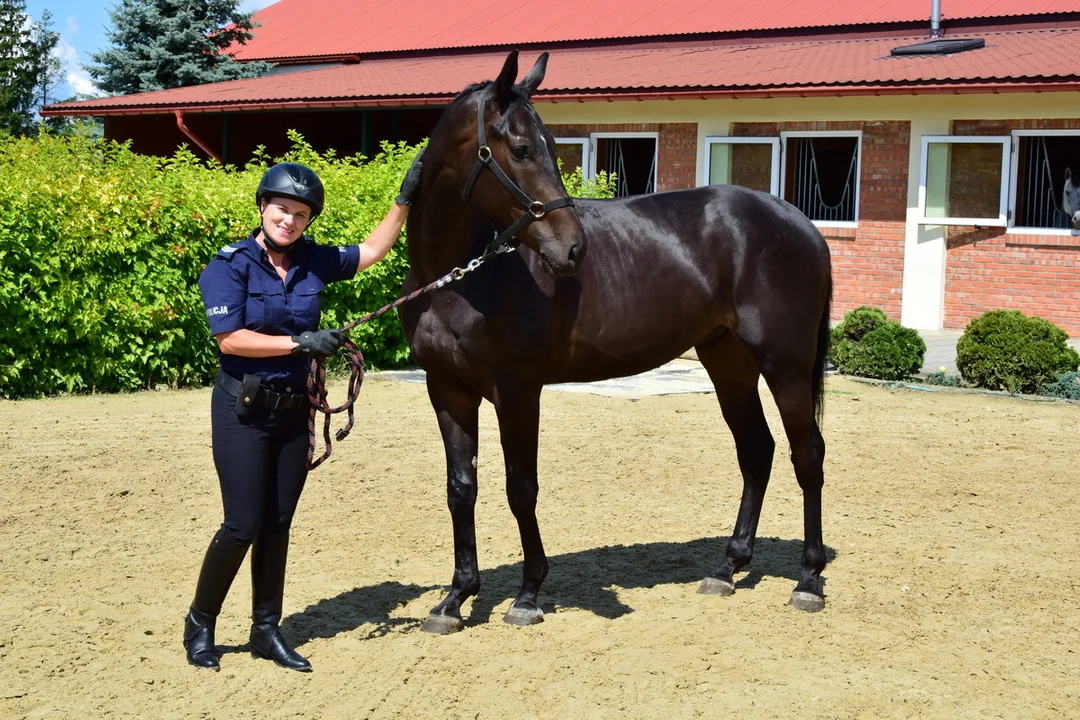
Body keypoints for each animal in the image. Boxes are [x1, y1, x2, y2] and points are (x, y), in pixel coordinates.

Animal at [399, 52, 833, 634]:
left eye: (551, 145)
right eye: (521, 149)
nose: (572, 249)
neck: (460, 278)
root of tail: (801, 223)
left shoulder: (517, 391)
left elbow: (521, 487)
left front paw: (528, 594)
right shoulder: (447, 390)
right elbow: (460, 488)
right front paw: (455, 598)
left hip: (785, 364)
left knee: (807, 454)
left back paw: (808, 580)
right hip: (728, 361)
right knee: (756, 450)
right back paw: (726, 568)